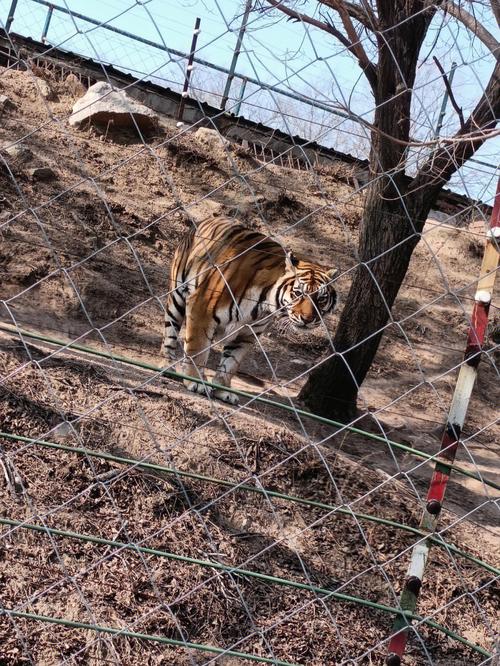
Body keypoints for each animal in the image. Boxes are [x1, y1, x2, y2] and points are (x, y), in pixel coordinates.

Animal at [162, 218, 338, 402]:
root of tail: (208, 219)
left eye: (321, 299)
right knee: (169, 334)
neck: (263, 303)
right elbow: (197, 350)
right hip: (176, 298)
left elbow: (231, 363)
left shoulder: (247, 333)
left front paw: (223, 390)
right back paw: (168, 366)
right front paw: (196, 381)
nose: (307, 319)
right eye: (298, 293)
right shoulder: (201, 308)